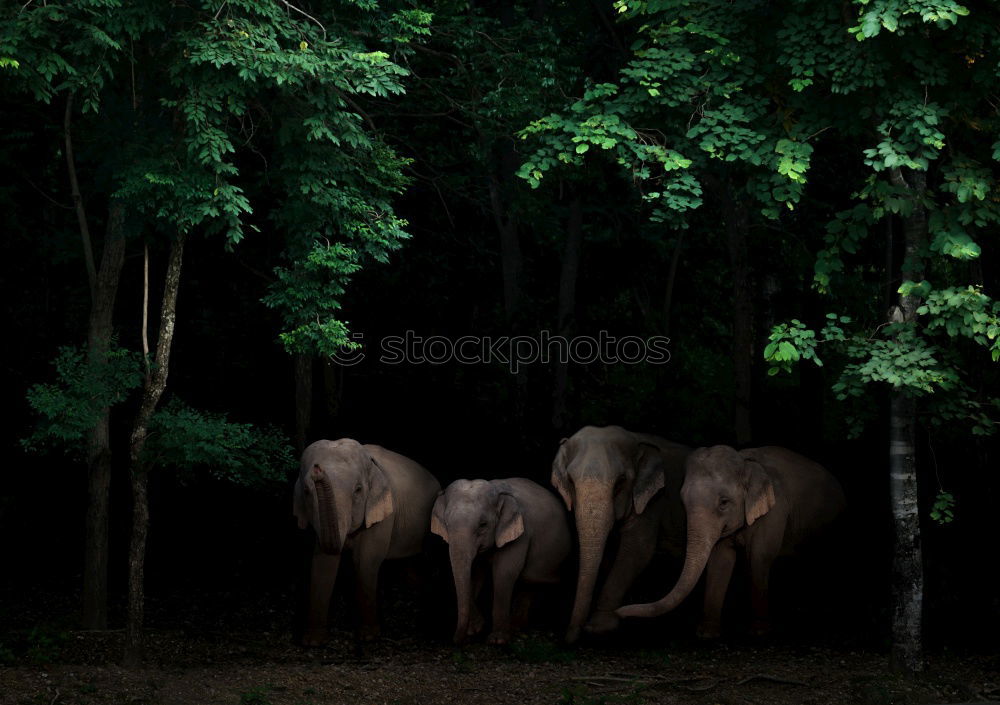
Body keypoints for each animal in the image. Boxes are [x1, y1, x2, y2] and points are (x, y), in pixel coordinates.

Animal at [292, 438, 442, 648]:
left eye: (358, 490)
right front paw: (313, 641)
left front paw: (369, 637)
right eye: (306, 491)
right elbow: (322, 564)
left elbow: (365, 563)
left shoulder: (384, 514)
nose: (317, 469)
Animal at [430, 478, 572, 644]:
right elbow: (474, 574)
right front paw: (475, 629)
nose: (456, 640)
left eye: (483, 525)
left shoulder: (521, 534)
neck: (497, 490)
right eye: (446, 523)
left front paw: (497, 640)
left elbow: (504, 573)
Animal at [552, 424, 692, 644]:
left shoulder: (653, 501)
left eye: (621, 482)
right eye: (571, 481)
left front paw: (597, 628)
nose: (568, 638)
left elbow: (638, 549)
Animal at [616, 446, 844, 640]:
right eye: (683, 502)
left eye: (724, 502)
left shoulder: (775, 511)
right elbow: (720, 559)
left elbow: (760, 557)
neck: (746, 462)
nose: (620, 613)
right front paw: (707, 633)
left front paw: (759, 632)